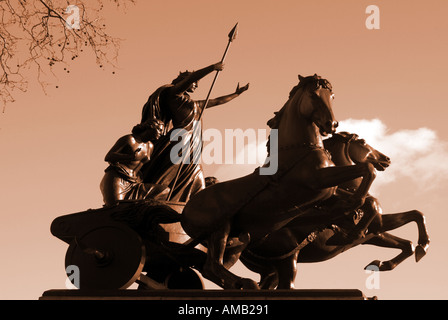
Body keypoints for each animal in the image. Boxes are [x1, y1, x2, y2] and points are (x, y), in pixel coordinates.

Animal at [180, 74, 376, 288]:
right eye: (313, 95)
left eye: (331, 96)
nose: (331, 124)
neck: (299, 149)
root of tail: (185, 210)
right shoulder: (318, 179)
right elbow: (368, 170)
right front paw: (350, 217)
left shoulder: (328, 191)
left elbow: (370, 198)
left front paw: (354, 227)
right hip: (220, 228)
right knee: (211, 267)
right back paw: (248, 283)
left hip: (236, 241)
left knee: (212, 267)